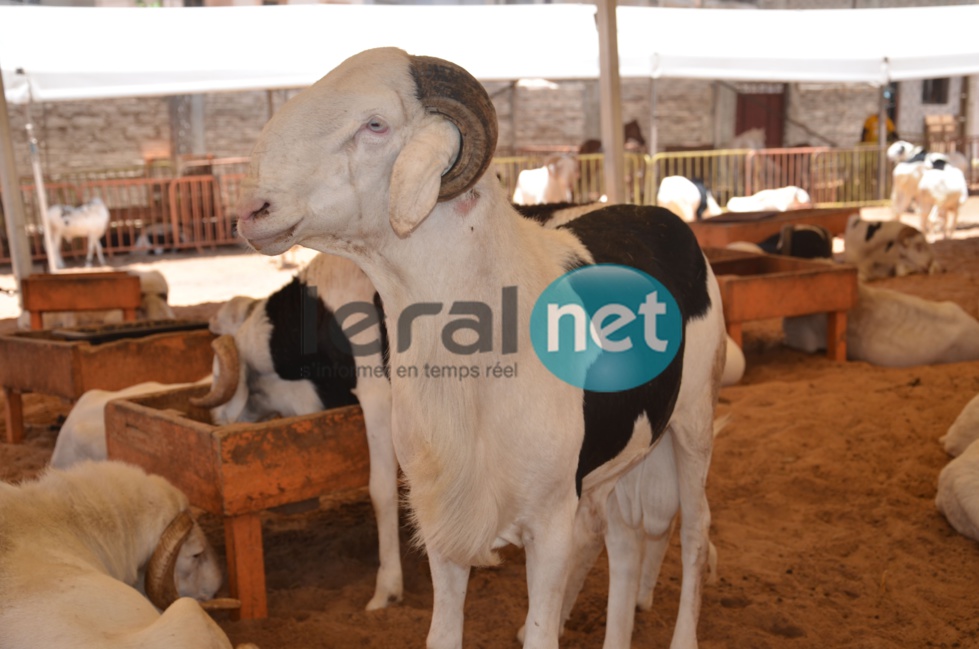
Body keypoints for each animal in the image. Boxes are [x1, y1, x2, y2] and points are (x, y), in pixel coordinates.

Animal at [235, 48, 728, 648]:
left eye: (375, 125)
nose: (252, 208)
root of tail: (655, 213)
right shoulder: (443, 515)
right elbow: (443, 633)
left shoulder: (550, 520)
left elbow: (543, 631)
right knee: (624, 541)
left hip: (693, 420)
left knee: (695, 533)